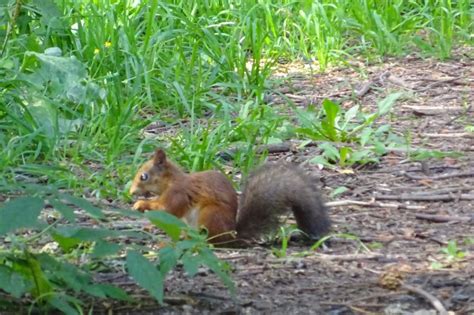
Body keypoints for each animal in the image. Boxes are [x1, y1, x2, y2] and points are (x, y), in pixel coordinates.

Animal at [129, 149, 330, 246]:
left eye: (143, 176)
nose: (131, 192)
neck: (171, 182)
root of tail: (231, 235)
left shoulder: (179, 193)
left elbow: (168, 209)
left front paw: (142, 204)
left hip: (210, 214)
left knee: (212, 241)